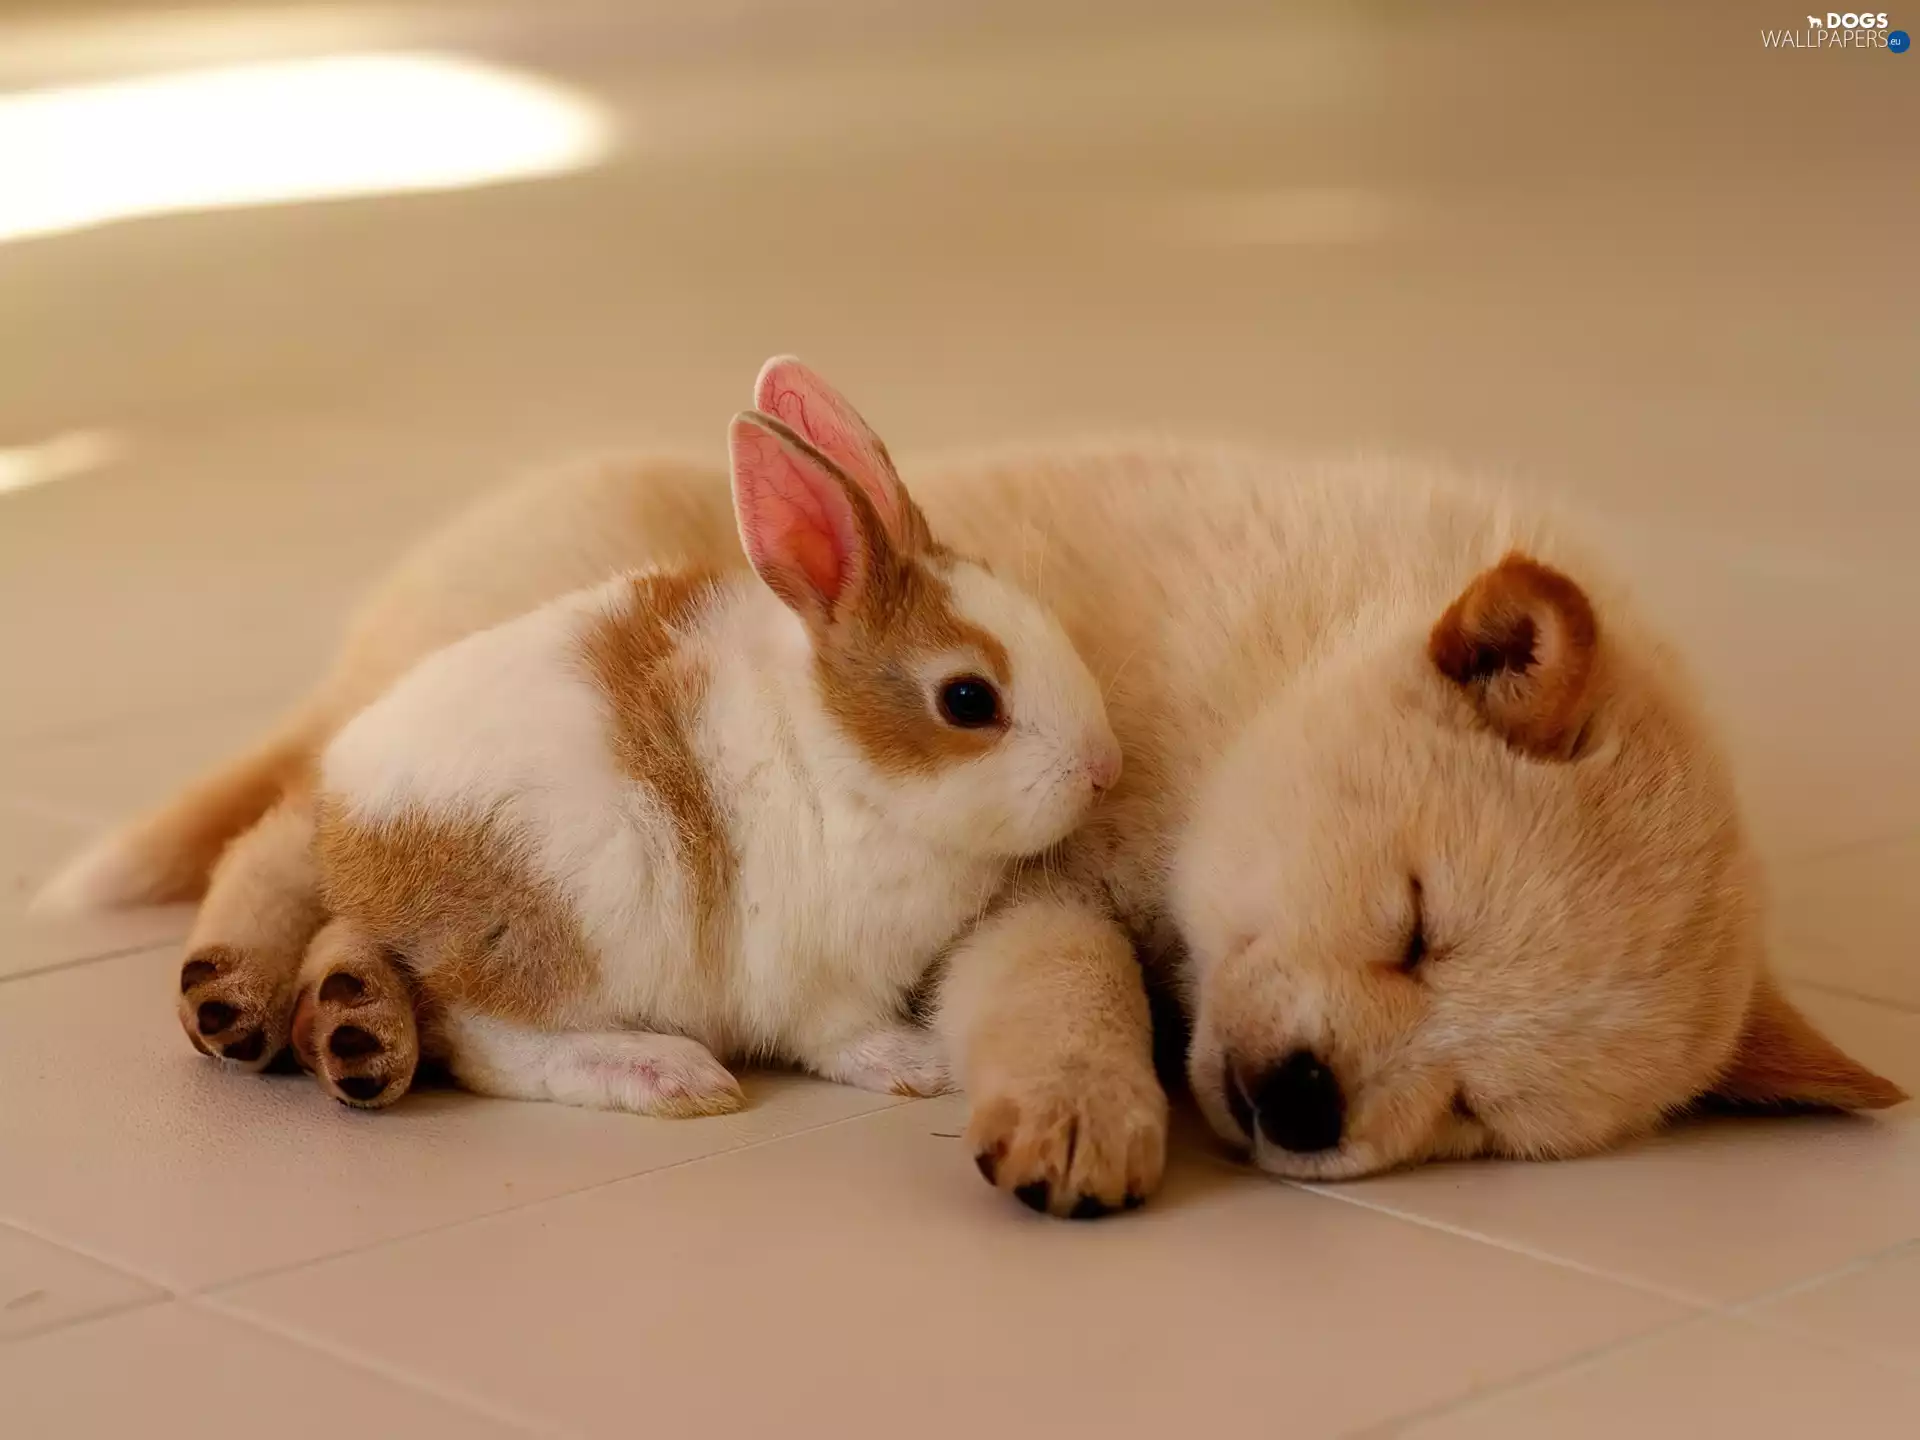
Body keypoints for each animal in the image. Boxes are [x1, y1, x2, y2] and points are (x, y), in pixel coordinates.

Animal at [291, 359, 1121, 1113]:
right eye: (968, 700)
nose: (1103, 770)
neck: (841, 760)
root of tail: (344, 834)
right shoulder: (822, 980)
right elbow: (840, 1037)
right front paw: (920, 1065)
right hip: (576, 927)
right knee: (488, 1042)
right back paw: (669, 1075)